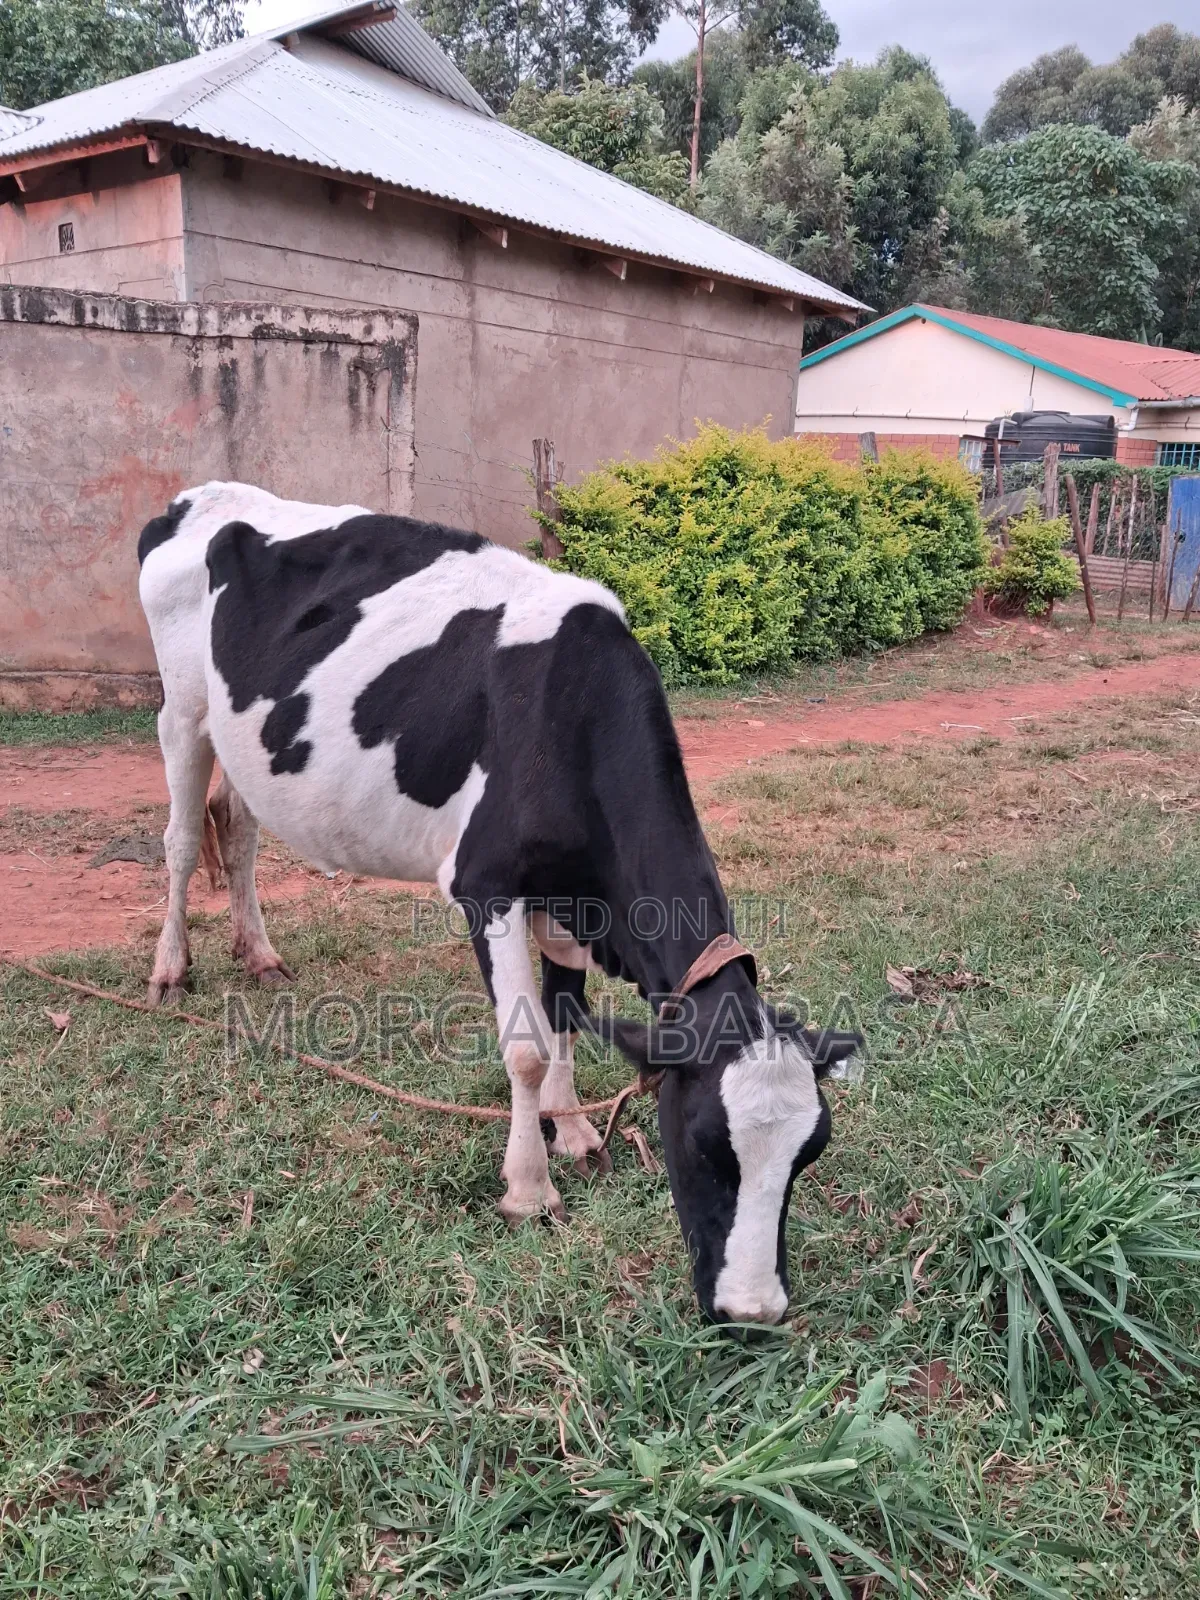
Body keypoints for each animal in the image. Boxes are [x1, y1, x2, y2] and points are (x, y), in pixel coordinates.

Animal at [137, 482, 859, 1324]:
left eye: (809, 1153)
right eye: (705, 1142)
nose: (754, 1311)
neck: (567, 711)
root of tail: (202, 496)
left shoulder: (572, 898)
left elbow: (566, 1012)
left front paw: (575, 1132)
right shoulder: (485, 884)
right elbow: (525, 1047)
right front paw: (529, 1189)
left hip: (243, 739)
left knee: (240, 827)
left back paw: (259, 956)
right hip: (181, 712)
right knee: (182, 838)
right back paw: (170, 970)